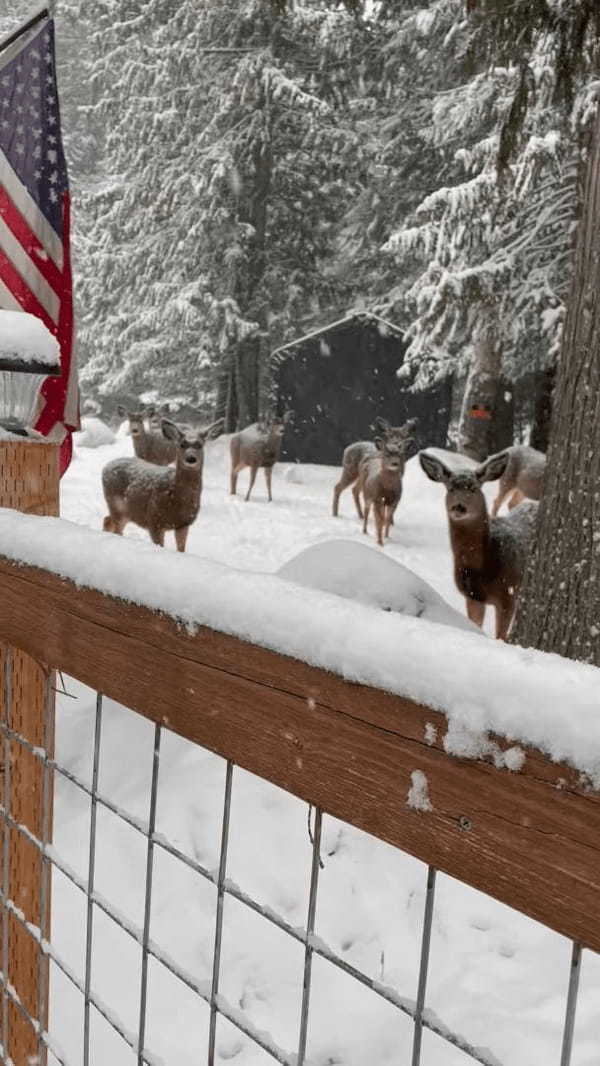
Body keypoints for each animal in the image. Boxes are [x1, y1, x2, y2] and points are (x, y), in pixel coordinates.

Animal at [102, 415, 221, 550]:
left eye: (200, 445)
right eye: (182, 444)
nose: (191, 458)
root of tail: (106, 467)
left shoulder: (183, 523)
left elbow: (181, 549)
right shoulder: (154, 520)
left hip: (127, 512)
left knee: (107, 520)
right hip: (116, 505)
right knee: (116, 528)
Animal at [417, 445, 539, 635]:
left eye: (473, 488)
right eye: (450, 488)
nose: (459, 507)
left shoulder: (508, 594)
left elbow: (500, 636)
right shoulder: (472, 596)